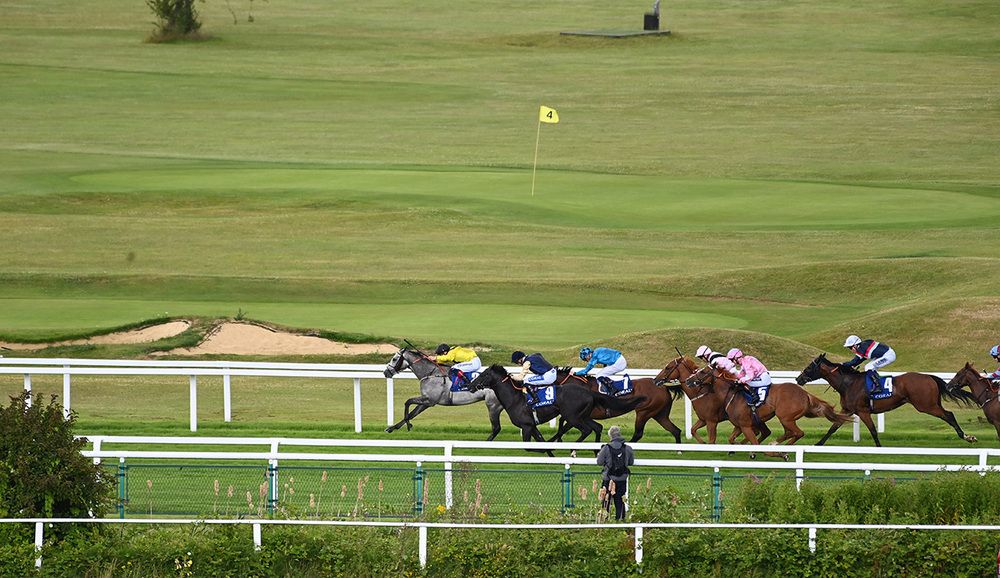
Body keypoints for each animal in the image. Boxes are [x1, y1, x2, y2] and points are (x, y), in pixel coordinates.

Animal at [470, 364, 648, 446]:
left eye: (484, 374)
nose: (471, 385)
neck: (515, 398)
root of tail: (589, 392)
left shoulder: (526, 425)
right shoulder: (532, 426)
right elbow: (541, 441)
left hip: (573, 416)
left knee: (586, 430)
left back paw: (574, 449)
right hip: (583, 415)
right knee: (597, 427)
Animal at [548, 366, 688, 444]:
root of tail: (663, 387)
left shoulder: (576, 415)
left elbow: (564, 426)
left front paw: (551, 442)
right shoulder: (579, 415)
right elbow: (563, 423)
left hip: (644, 412)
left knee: (638, 434)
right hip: (659, 414)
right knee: (675, 430)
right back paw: (678, 451)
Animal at [796, 352, 976, 446]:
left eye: (809, 367)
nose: (798, 379)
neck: (848, 383)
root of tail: (929, 377)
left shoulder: (863, 411)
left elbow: (873, 430)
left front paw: (879, 447)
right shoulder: (848, 410)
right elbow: (833, 427)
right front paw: (818, 444)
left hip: (926, 405)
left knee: (949, 415)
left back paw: (966, 436)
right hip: (930, 404)